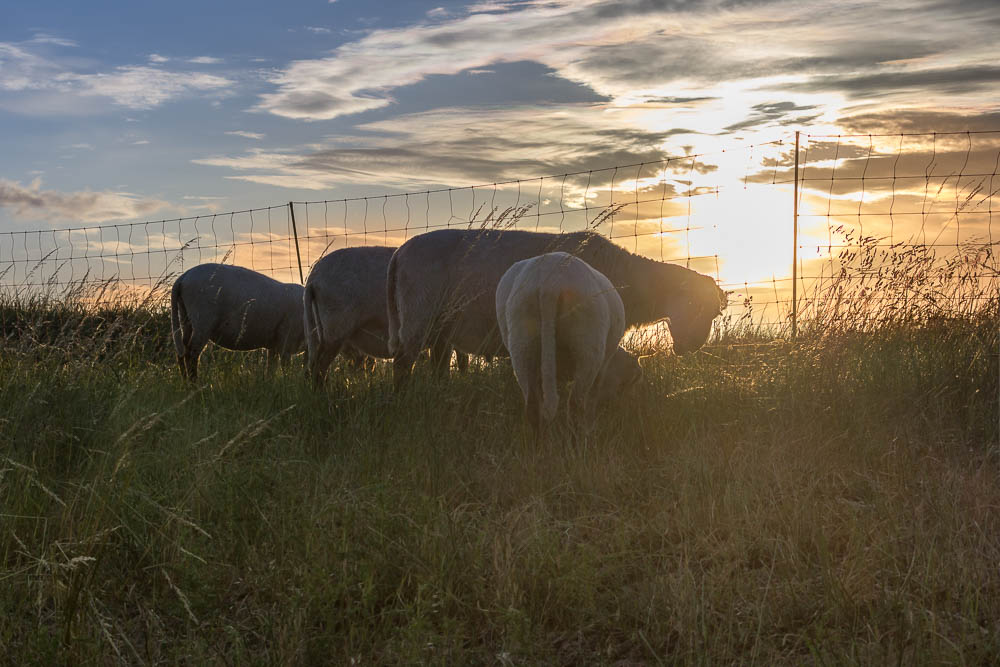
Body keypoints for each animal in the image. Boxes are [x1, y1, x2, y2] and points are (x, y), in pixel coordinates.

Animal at [169, 264, 304, 384]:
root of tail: (183, 278)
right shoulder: (286, 342)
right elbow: (285, 368)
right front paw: (288, 384)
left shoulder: (274, 346)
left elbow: (271, 369)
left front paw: (270, 385)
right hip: (202, 319)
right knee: (191, 352)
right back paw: (194, 384)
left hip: (186, 316)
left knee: (182, 349)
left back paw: (185, 382)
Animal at [386, 228, 724, 386]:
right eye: (695, 305)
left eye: (713, 313)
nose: (694, 346)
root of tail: (400, 252)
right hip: (419, 313)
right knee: (402, 364)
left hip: (440, 327)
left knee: (437, 366)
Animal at [498, 252, 644, 434]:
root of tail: (550, 282)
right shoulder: (602, 369)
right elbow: (592, 398)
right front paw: (591, 426)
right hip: (587, 345)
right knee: (575, 403)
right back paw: (581, 438)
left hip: (522, 341)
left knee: (532, 405)